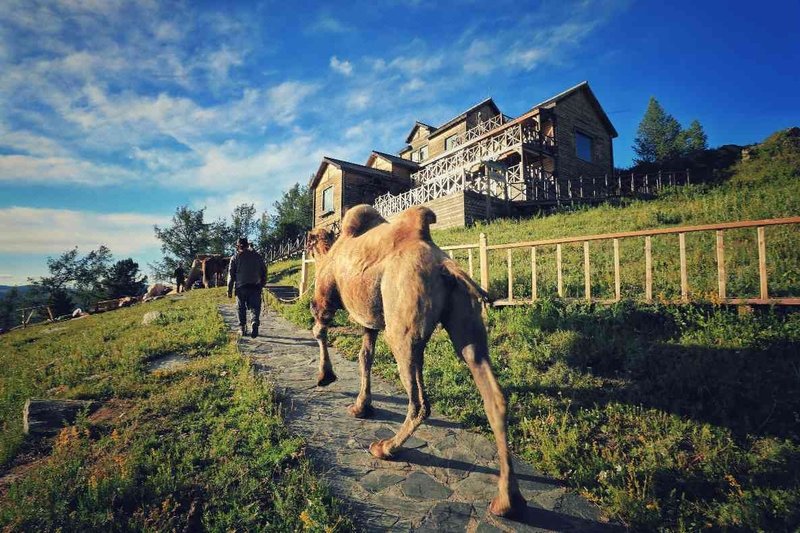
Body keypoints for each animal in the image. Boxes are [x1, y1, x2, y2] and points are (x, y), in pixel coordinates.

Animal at [306, 203, 524, 516]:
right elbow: (365, 356)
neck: (330, 252)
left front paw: (325, 376)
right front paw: (361, 406)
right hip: (467, 322)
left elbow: (320, 329)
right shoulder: (370, 321)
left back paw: (386, 447)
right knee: (492, 392)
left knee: (420, 401)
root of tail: (446, 266)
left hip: (403, 328)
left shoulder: (325, 298)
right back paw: (506, 501)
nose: (307, 244)